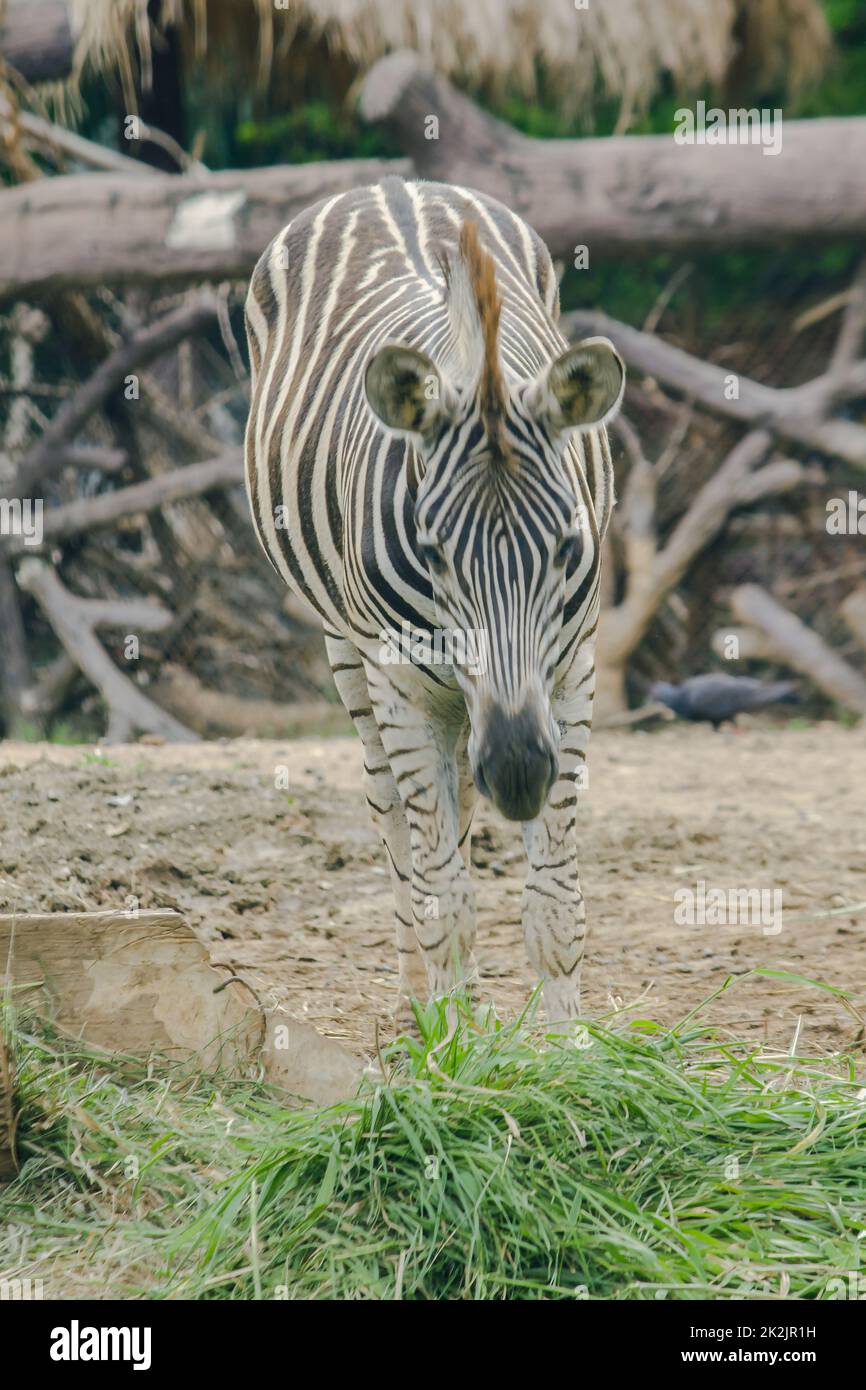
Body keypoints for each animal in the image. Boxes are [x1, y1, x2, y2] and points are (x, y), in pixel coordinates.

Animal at [244, 176, 624, 1024]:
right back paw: (421, 1009)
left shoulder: (571, 671)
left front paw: (571, 1046)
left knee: (455, 804)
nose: (518, 769)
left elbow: (555, 902)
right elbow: (442, 896)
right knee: (396, 823)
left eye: (566, 549)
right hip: (350, 653)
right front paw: (452, 1048)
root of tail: (389, 182)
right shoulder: (400, 680)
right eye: (433, 551)